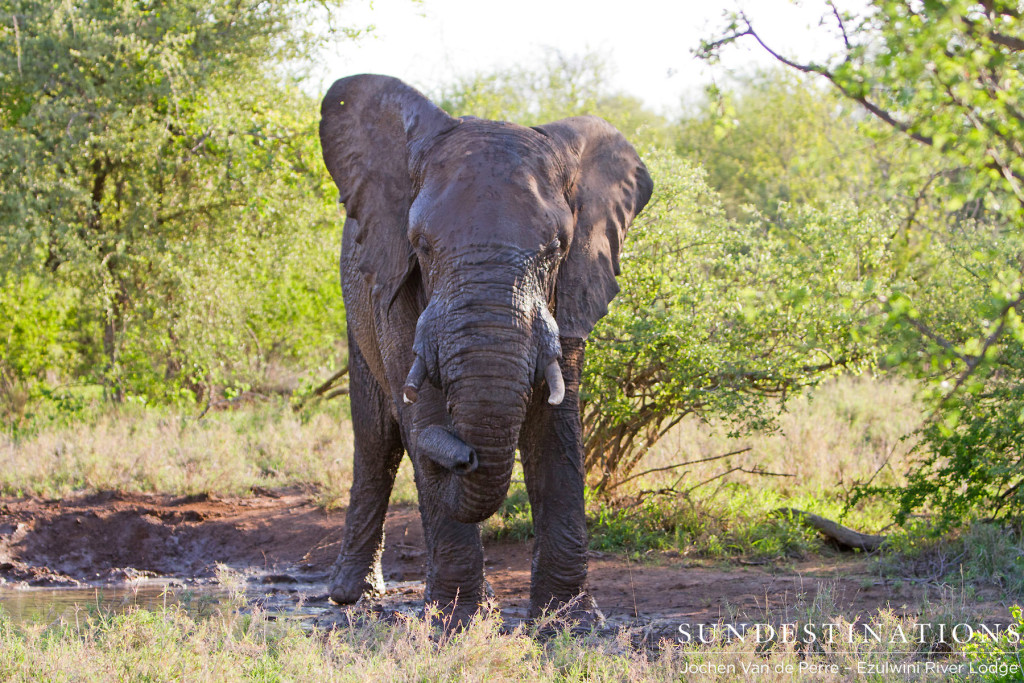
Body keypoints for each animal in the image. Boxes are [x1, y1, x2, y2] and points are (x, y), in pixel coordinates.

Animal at [319, 73, 651, 626]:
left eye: (557, 249)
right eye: (421, 245)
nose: (467, 456)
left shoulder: (573, 290)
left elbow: (556, 425)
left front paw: (571, 623)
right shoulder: (393, 282)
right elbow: (418, 416)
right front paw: (456, 622)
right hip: (354, 302)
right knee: (376, 437)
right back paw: (352, 596)